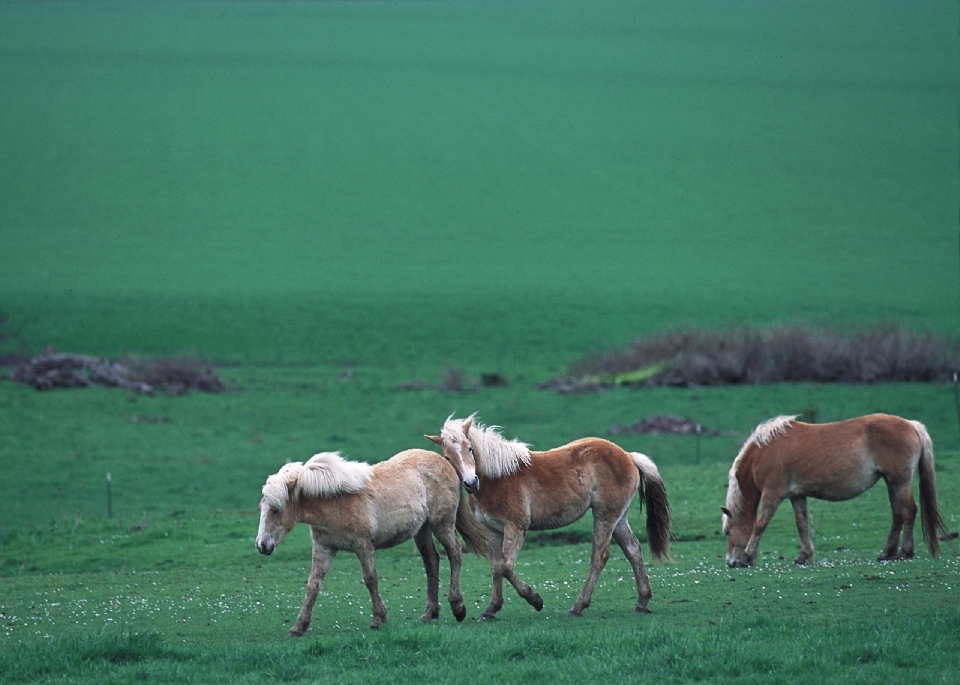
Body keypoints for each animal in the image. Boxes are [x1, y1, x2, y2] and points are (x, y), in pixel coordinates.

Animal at [255, 448, 492, 636]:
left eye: (276, 510)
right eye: (261, 508)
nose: (262, 545)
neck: (335, 502)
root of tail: (446, 462)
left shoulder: (363, 545)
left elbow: (370, 579)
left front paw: (378, 619)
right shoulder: (324, 548)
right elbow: (313, 585)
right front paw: (298, 627)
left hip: (441, 524)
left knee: (455, 554)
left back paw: (458, 607)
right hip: (422, 529)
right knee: (432, 561)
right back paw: (429, 613)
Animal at [424, 414, 672, 616]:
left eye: (470, 449)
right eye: (447, 457)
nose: (470, 483)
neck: (498, 477)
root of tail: (628, 456)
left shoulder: (516, 527)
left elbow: (506, 566)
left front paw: (535, 599)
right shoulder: (494, 531)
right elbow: (496, 568)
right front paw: (492, 609)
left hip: (605, 516)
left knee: (599, 556)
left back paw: (578, 606)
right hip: (619, 518)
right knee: (633, 550)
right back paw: (642, 602)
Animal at [724, 412, 948, 568]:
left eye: (727, 532)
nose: (731, 562)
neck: (764, 452)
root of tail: (911, 424)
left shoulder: (773, 495)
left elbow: (760, 524)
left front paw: (748, 554)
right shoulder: (797, 496)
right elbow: (801, 524)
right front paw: (804, 556)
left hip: (899, 482)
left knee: (908, 511)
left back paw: (904, 552)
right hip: (892, 483)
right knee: (898, 514)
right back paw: (887, 553)